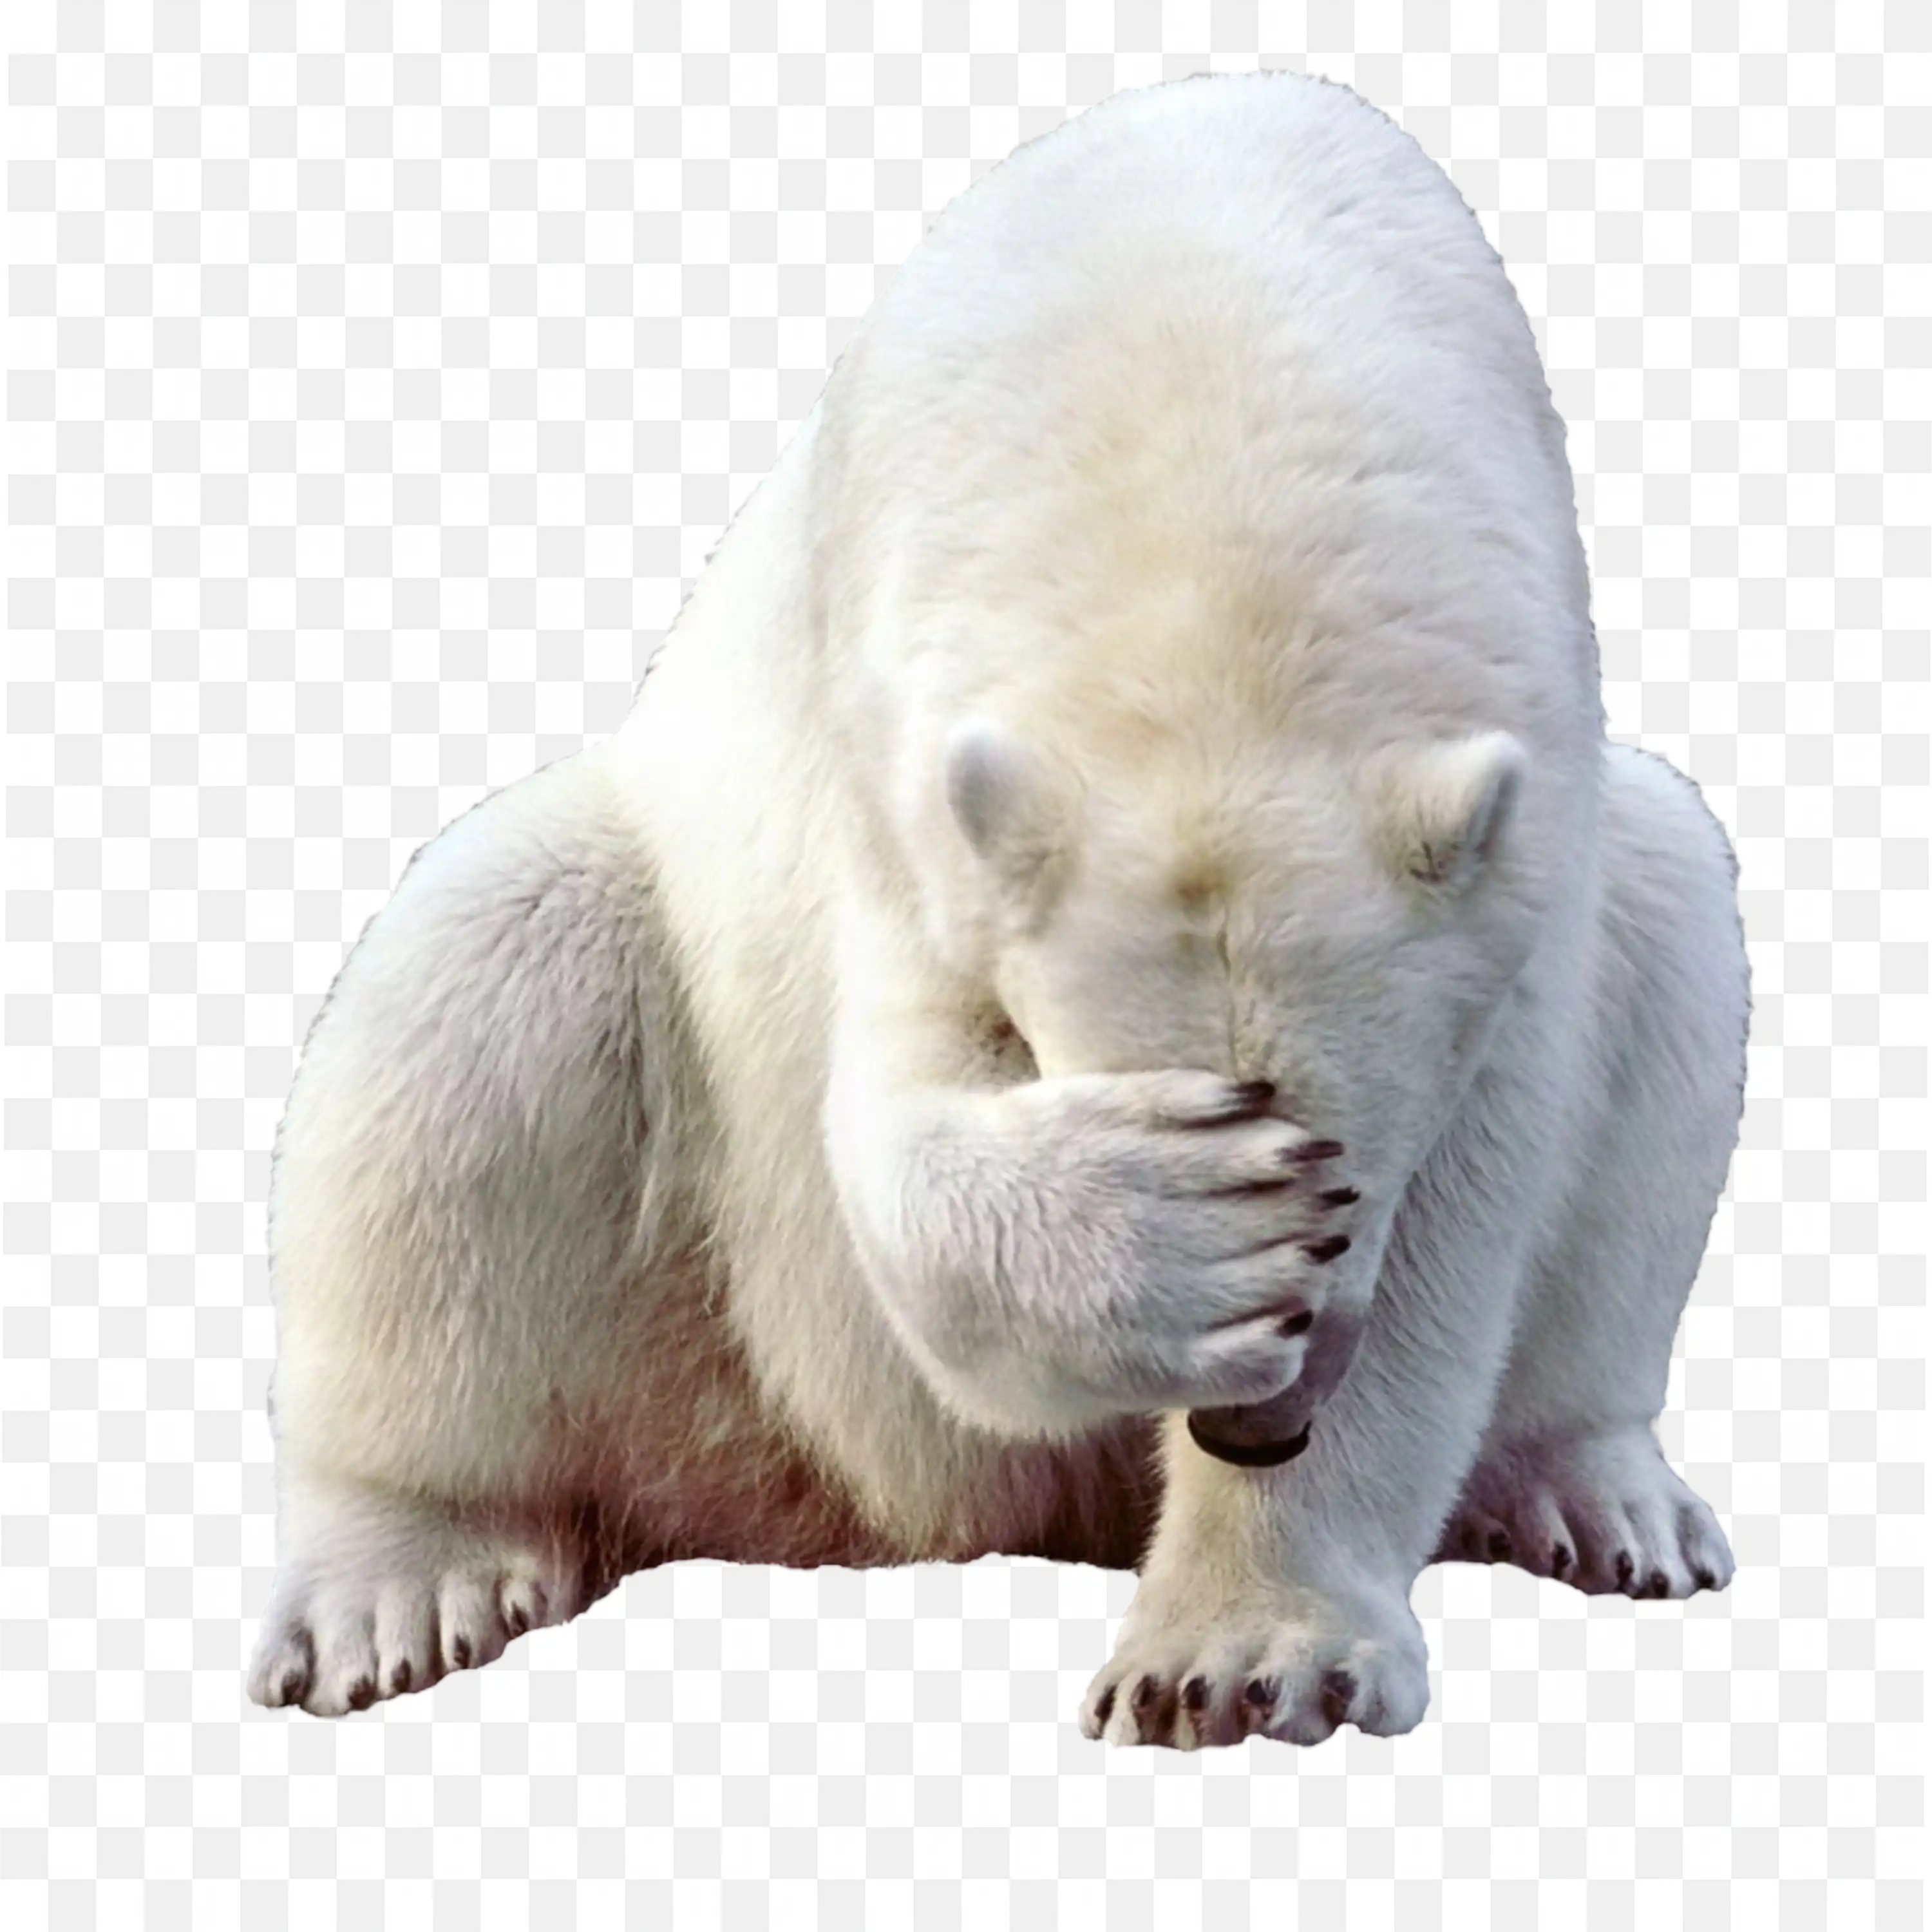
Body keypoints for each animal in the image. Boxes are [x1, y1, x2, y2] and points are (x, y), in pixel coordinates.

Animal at [246, 69, 1748, 1751]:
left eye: (1349, 1168)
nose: (1256, 1425)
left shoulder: (1525, 848)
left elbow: (1473, 1201)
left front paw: (1239, 1659)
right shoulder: (899, 763)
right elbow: (896, 1129)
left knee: (1675, 931)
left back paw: (1601, 1495)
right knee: (473, 988)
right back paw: (396, 1581)